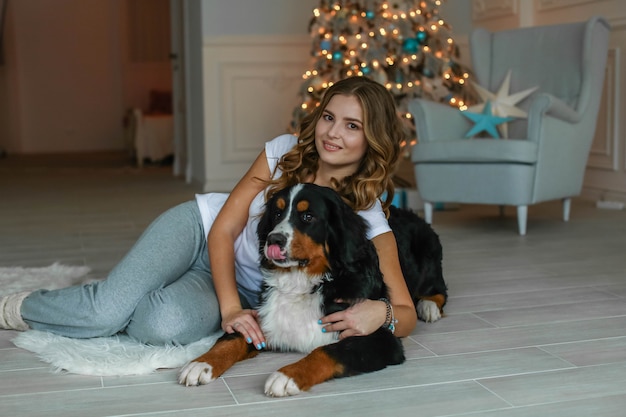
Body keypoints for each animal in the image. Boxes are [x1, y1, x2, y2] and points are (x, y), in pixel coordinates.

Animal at [178, 184, 446, 394]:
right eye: (277, 213)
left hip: (428, 254)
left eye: (307, 217)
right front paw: (201, 363)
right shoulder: (264, 318)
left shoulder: (379, 337)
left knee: (439, 288)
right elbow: (232, 339)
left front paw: (286, 376)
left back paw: (428, 306)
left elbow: (328, 351)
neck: (304, 283)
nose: (273, 239)